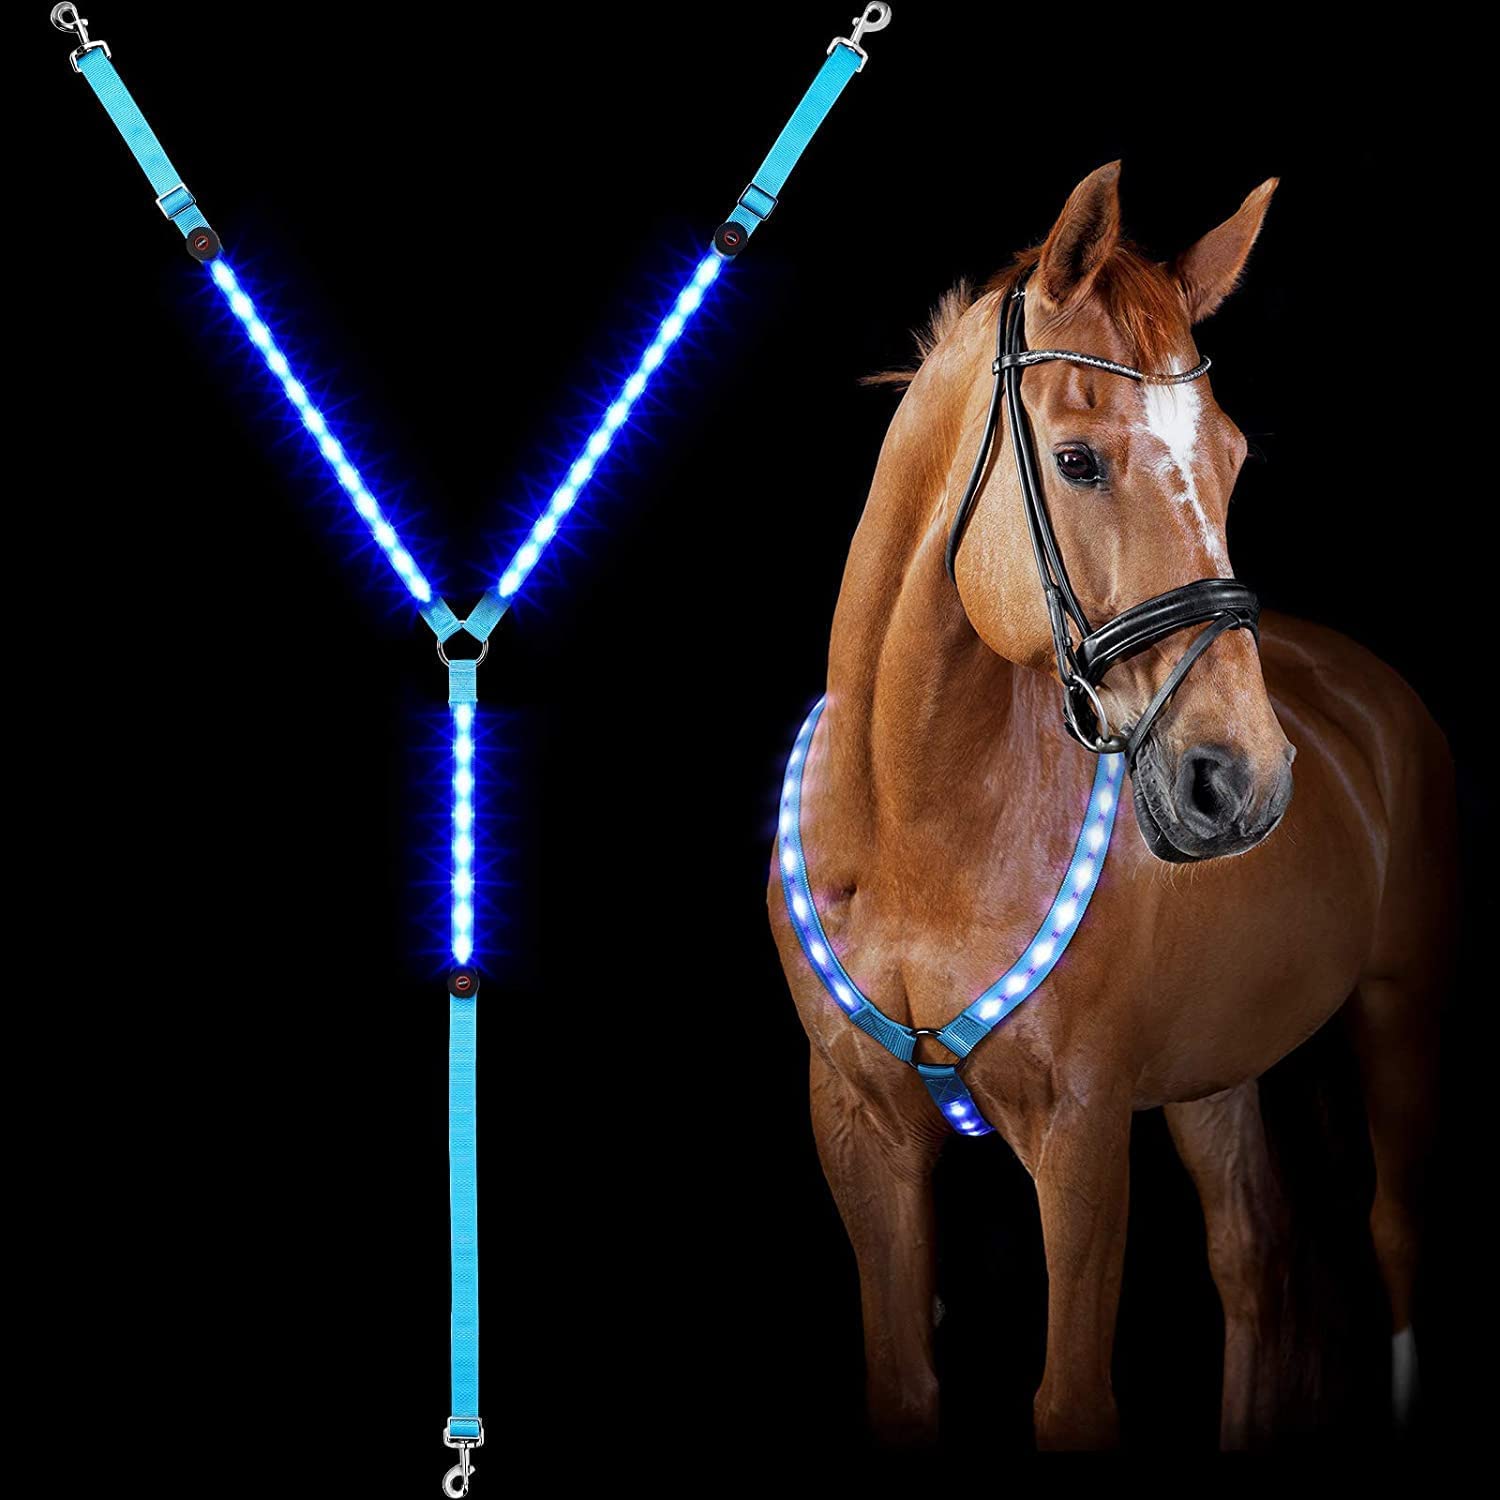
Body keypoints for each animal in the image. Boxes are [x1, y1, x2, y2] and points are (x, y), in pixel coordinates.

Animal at [767, 162, 1455, 1450]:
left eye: (1233, 456)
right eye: (1079, 460)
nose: (1243, 780)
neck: (915, 835)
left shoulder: (1082, 1136)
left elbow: (1073, 1398)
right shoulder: (859, 1132)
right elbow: (902, 1381)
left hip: (1399, 1011)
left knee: (1391, 1245)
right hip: (1213, 1074)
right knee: (1254, 1263)